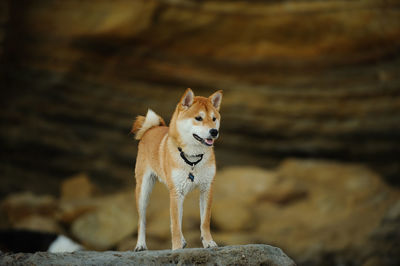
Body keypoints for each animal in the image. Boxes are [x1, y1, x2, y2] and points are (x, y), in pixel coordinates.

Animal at [133, 88, 223, 250]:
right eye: (198, 118)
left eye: (214, 119)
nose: (214, 131)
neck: (193, 160)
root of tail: (151, 128)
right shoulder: (176, 192)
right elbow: (175, 225)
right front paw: (176, 248)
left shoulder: (207, 188)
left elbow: (204, 221)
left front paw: (208, 242)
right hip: (143, 191)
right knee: (141, 220)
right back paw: (141, 244)